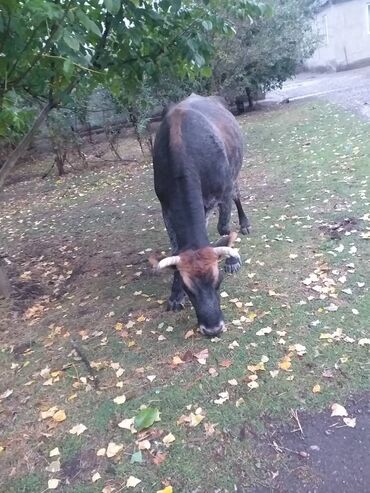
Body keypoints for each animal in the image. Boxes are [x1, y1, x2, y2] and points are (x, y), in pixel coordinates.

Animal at [152, 94, 250, 336]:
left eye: (218, 280)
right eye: (189, 289)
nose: (213, 329)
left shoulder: (223, 192)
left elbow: (224, 229)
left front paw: (232, 259)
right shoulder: (166, 207)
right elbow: (176, 247)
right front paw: (175, 295)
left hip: (234, 173)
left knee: (237, 194)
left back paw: (244, 223)